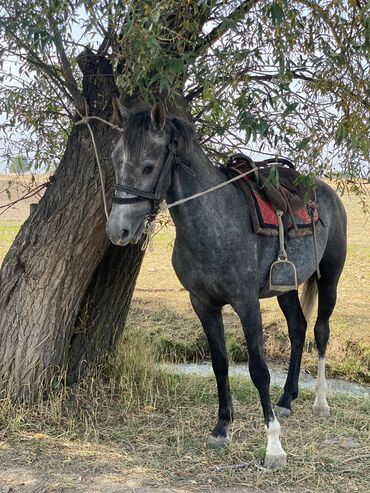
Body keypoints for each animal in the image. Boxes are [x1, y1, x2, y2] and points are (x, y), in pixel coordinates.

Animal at [106, 99, 346, 466]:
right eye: (115, 161)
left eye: (148, 167)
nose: (118, 230)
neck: (212, 222)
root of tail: (326, 192)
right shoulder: (203, 304)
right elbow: (219, 363)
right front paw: (222, 427)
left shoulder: (246, 303)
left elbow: (259, 369)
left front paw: (274, 445)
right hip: (286, 288)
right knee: (297, 328)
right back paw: (287, 399)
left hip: (330, 278)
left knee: (320, 331)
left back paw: (320, 402)